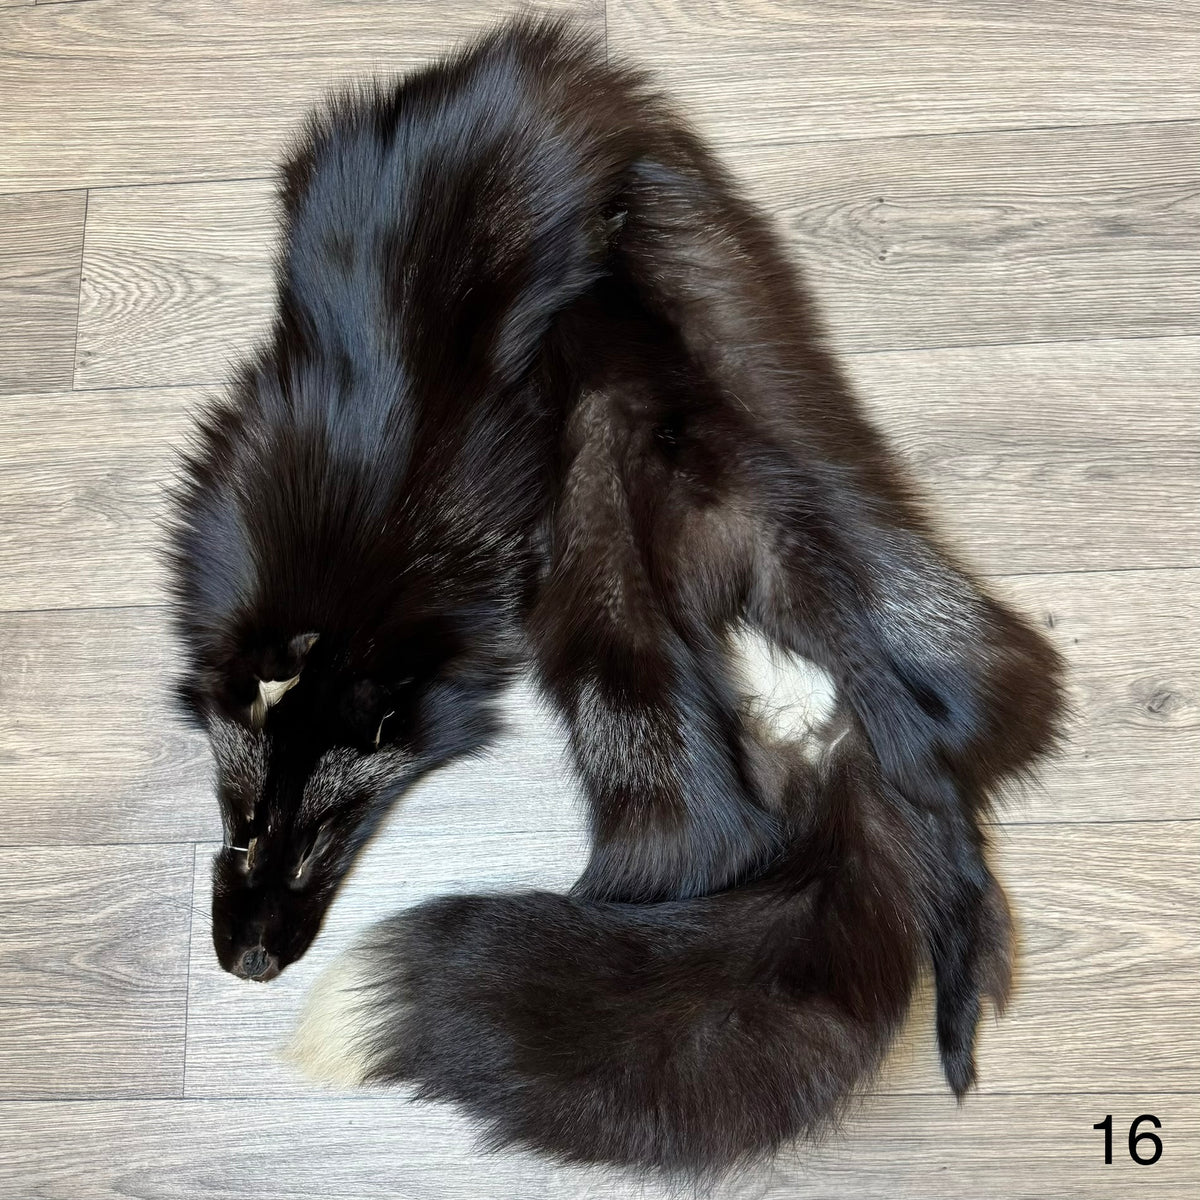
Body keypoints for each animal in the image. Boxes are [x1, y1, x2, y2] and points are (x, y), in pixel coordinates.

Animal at [168, 17, 1064, 1176]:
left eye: (332, 832)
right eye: (238, 825)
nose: (249, 967)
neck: (354, 569)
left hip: (610, 576)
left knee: (697, 835)